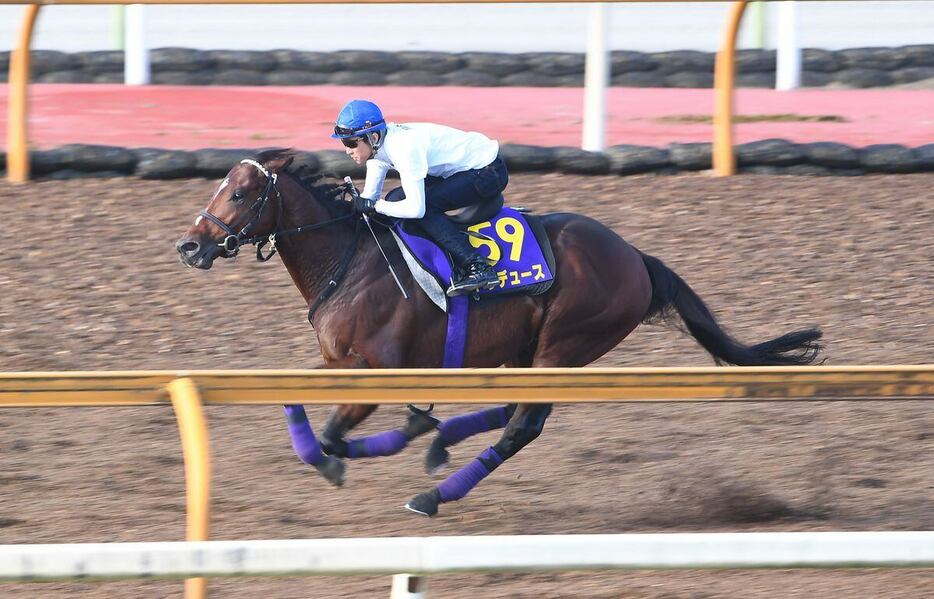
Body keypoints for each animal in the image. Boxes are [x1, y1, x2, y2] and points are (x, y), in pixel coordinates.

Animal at [176, 149, 828, 516]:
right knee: (513, 408)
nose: (190, 245)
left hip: (565, 346)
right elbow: (293, 395)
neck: (350, 258)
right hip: (530, 350)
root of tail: (636, 258)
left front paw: (351, 456)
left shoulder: (375, 369)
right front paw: (416, 425)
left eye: (240, 193)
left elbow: (336, 438)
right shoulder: (339, 362)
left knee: (523, 426)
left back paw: (432, 495)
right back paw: (439, 440)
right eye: (218, 187)